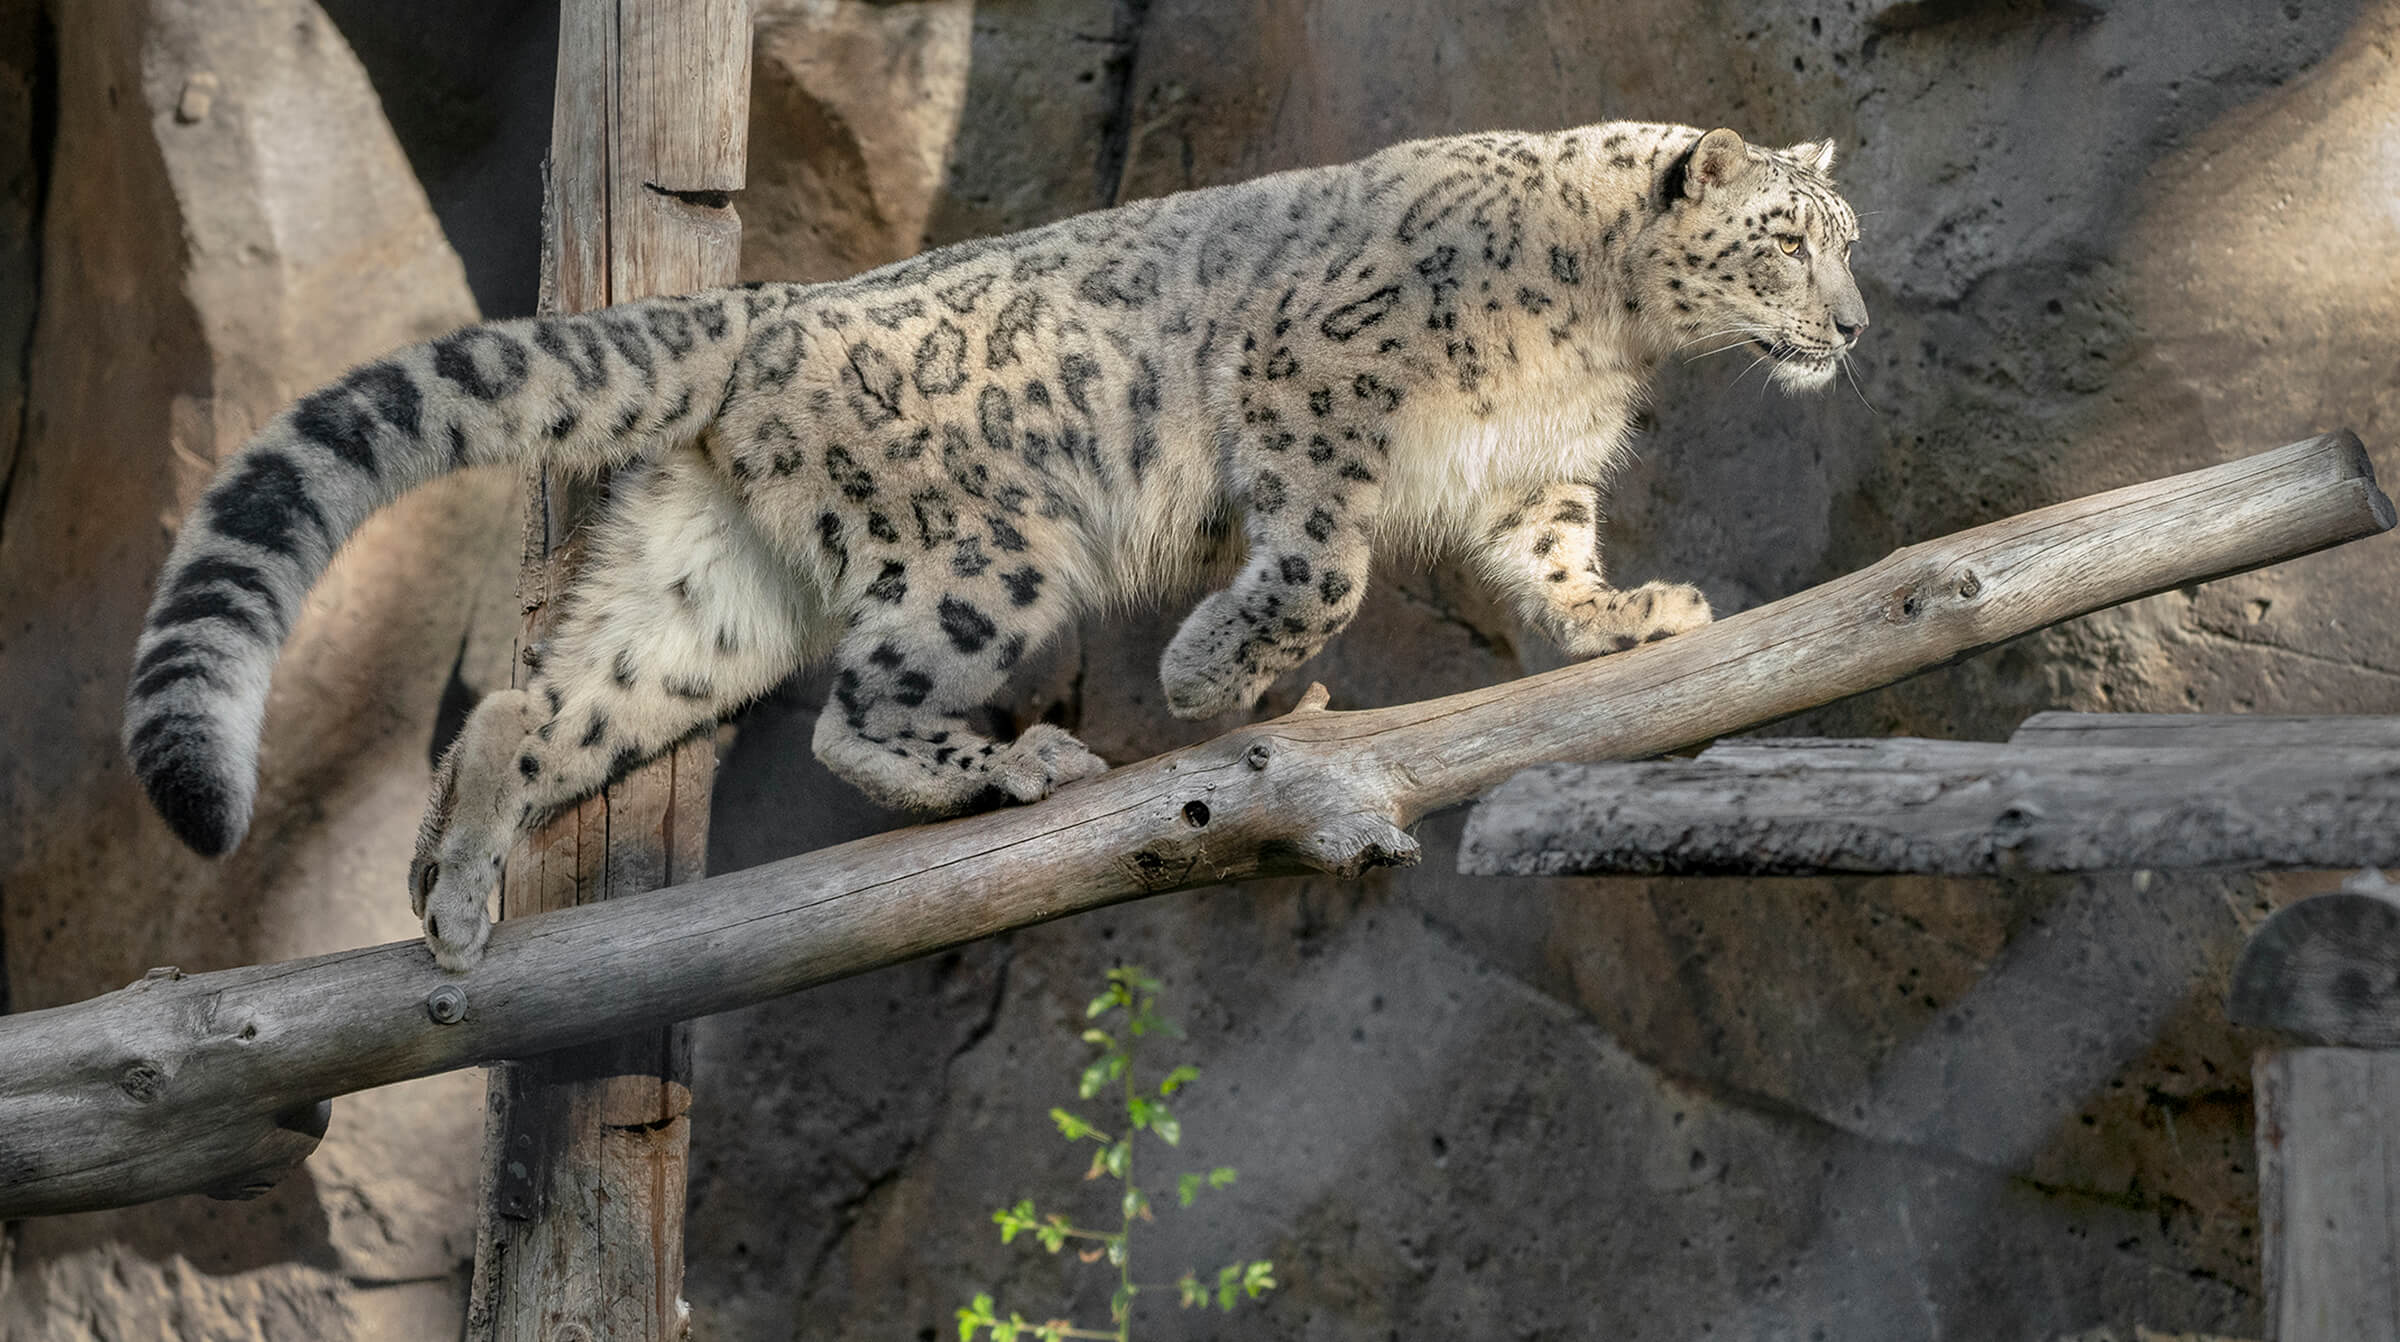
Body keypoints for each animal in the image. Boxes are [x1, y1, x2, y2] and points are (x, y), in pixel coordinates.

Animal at [121, 123, 1862, 965]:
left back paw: (459, 875)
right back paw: (1019, 763)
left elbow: (1554, 572)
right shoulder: (1318, 393)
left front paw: (1636, 618)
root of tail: (774, 309)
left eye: (1844, 241)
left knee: (533, 703)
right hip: (991, 554)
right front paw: (1217, 677)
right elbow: (1325, 562)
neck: (1600, 335)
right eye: (1783, 241)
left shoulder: (1534, 481)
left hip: (707, 589)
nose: (1853, 323)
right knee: (854, 710)